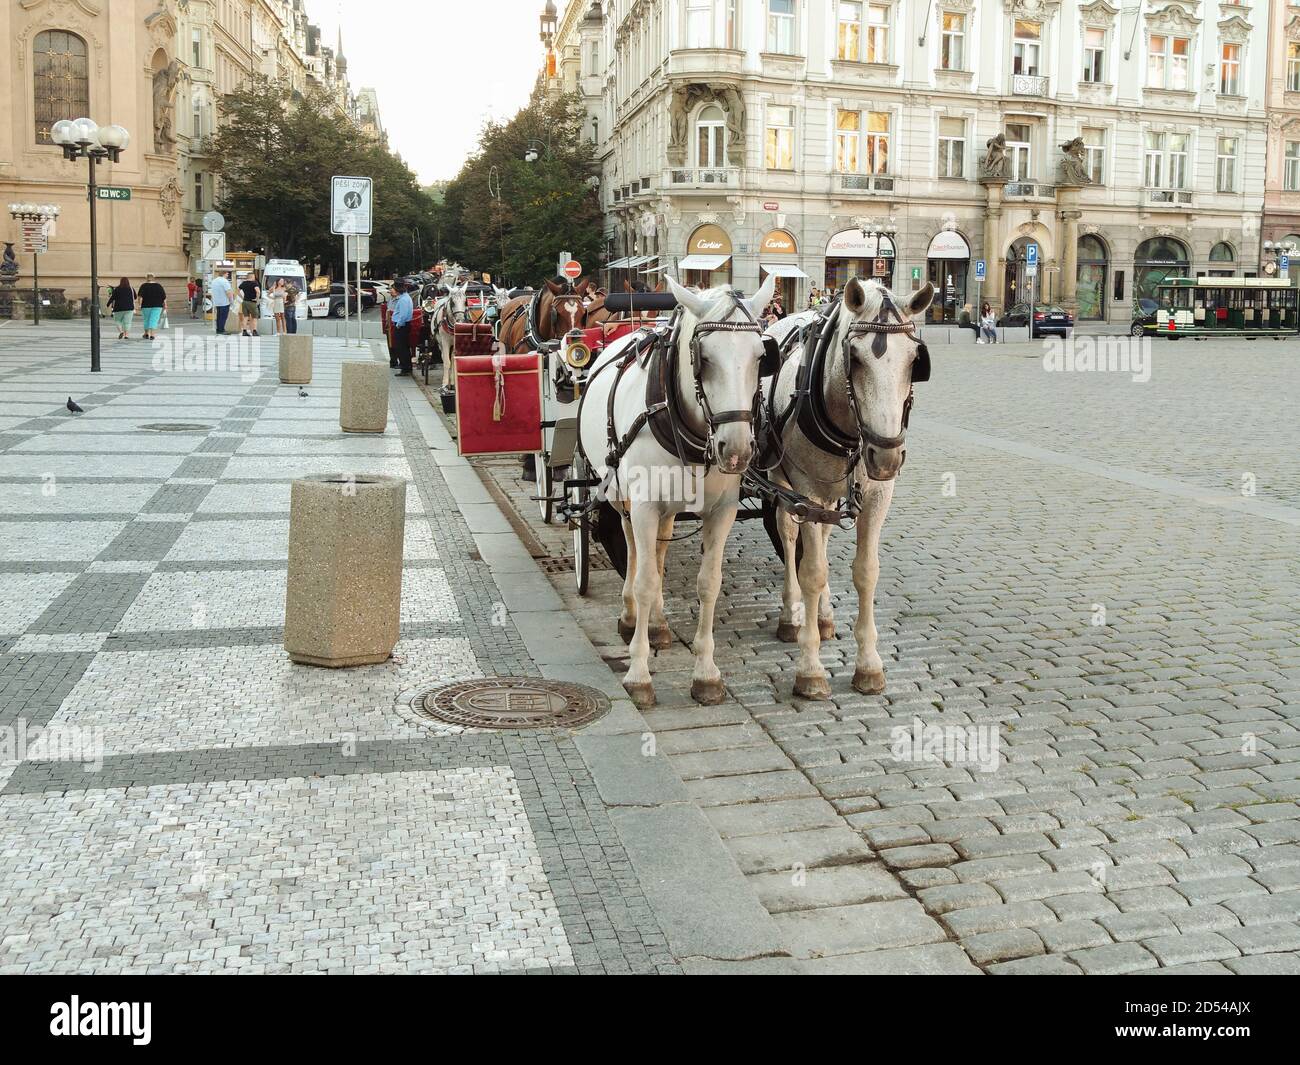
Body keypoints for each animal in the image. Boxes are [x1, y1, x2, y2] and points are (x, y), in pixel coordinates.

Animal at [577, 274, 774, 707]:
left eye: (760, 356)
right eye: (704, 358)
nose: (737, 450)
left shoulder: (721, 511)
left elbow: (707, 583)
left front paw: (706, 673)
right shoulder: (645, 505)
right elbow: (646, 580)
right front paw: (638, 674)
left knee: (656, 554)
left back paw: (657, 624)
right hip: (620, 492)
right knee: (635, 550)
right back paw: (632, 616)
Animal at [759, 276, 935, 702]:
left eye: (914, 360)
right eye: (854, 358)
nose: (886, 456)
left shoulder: (876, 496)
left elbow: (866, 571)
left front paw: (868, 664)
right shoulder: (804, 494)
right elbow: (811, 571)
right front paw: (810, 669)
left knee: (819, 538)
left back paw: (822, 617)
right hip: (783, 480)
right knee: (790, 537)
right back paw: (792, 615)